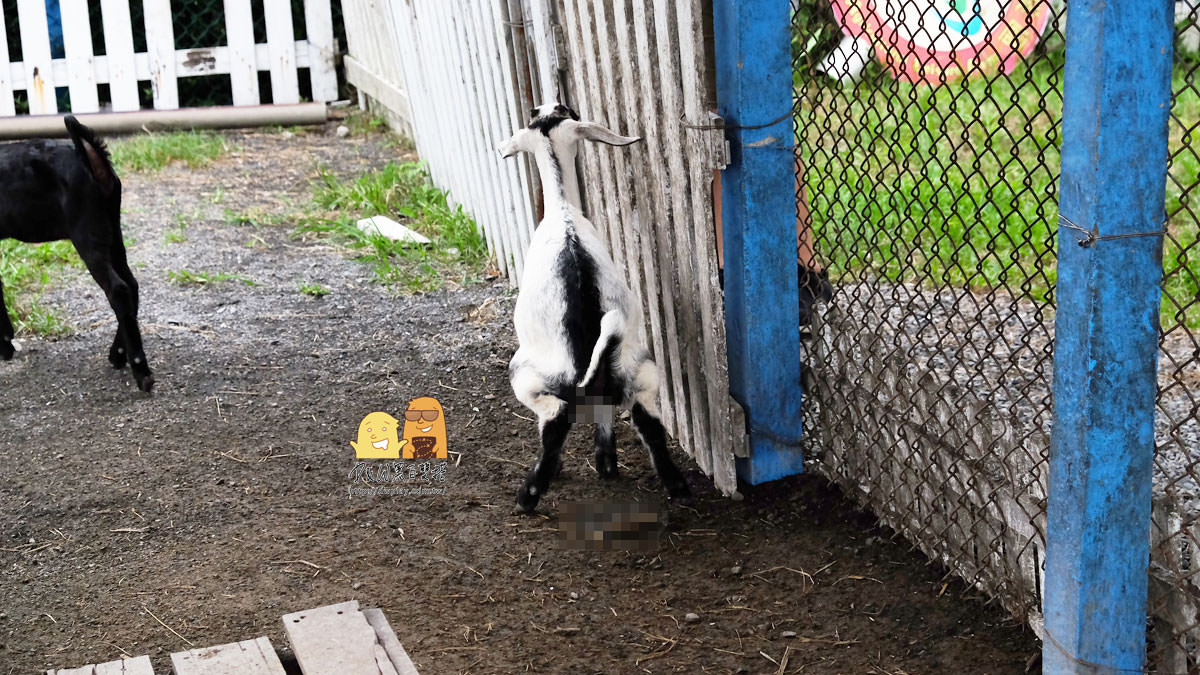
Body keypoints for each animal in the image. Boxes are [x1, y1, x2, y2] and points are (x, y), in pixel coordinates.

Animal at [0, 114, 154, 389]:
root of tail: (90, 159)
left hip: (87, 234)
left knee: (118, 289)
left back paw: (140, 370)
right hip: (112, 232)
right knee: (131, 284)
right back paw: (118, 354)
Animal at [499, 100, 691, 509]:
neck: (563, 211)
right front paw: (607, 463)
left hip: (527, 375)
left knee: (556, 421)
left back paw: (529, 495)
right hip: (641, 371)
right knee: (647, 421)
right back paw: (675, 486)